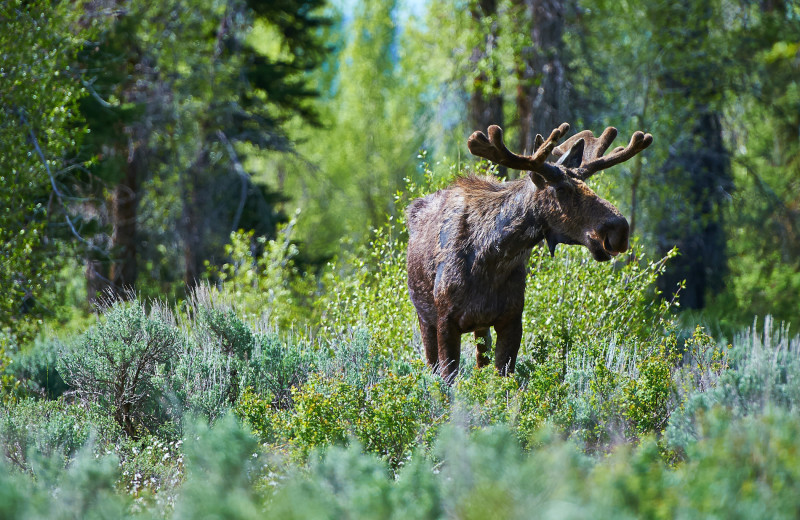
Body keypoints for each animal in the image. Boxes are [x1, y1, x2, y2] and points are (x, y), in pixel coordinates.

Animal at [404, 122, 652, 382]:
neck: (492, 261)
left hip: (479, 327)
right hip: (425, 318)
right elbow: (447, 381)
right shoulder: (445, 321)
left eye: (588, 185)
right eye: (562, 189)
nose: (620, 229)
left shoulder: (512, 319)